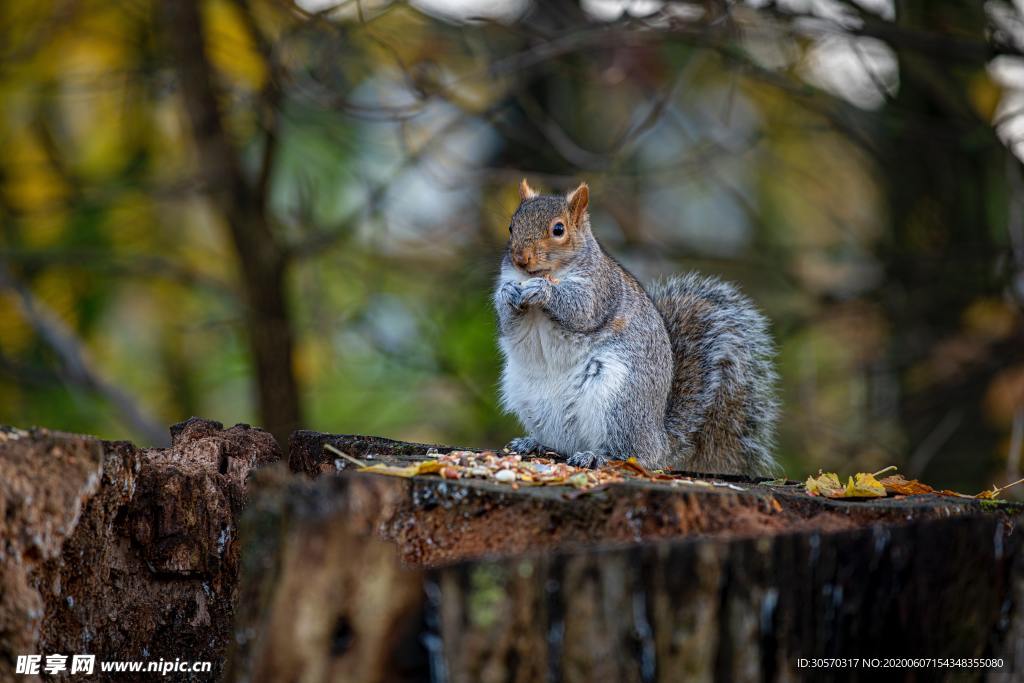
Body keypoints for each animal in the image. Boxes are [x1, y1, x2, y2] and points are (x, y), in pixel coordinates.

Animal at [493, 180, 774, 475]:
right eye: (511, 226)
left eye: (558, 229)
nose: (520, 258)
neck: (547, 273)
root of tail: (658, 440)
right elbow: (508, 323)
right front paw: (507, 295)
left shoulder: (600, 290)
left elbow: (580, 310)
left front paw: (543, 291)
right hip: (530, 398)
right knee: (562, 443)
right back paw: (533, 443)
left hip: (618, 400)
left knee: (630, 453)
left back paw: (598, 457)